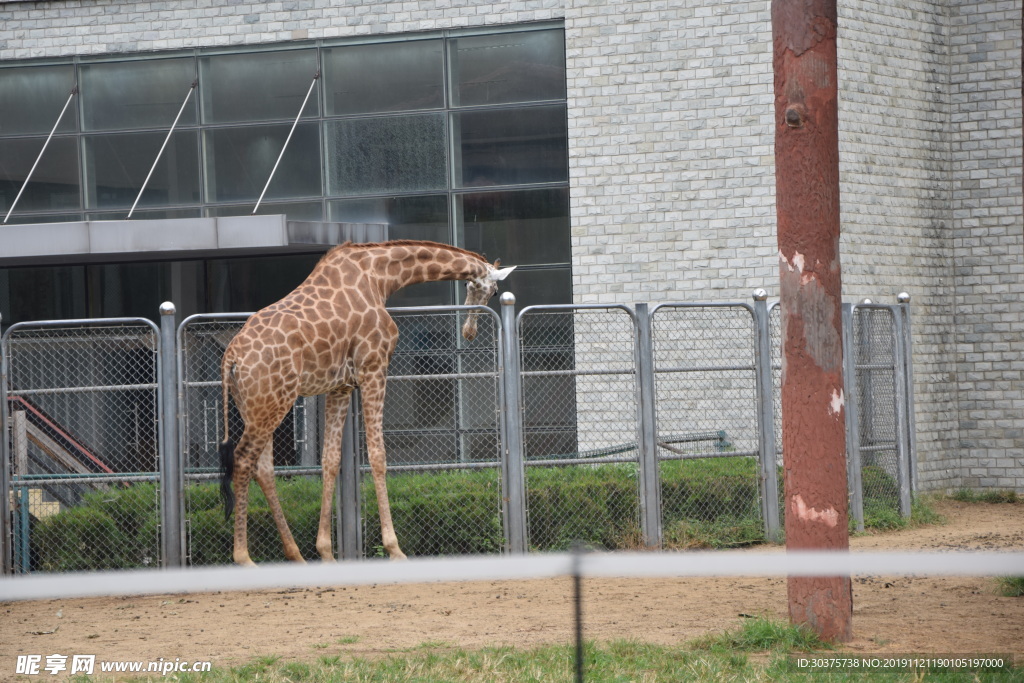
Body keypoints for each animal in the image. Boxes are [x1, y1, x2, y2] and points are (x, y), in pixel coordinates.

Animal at [220, 240, 516, 565]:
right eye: (493, 291)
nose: (469, 331)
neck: (381, 276)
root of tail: (231, 357)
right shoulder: (374, 367)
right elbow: (377, 456)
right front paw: (394, 548)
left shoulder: (341, 385)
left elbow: (331, 460)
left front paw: (326, 552)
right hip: (274, 402)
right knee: (243, 460)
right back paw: (244, 558)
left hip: (257, 405)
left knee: (263, 468)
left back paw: (295, 554)